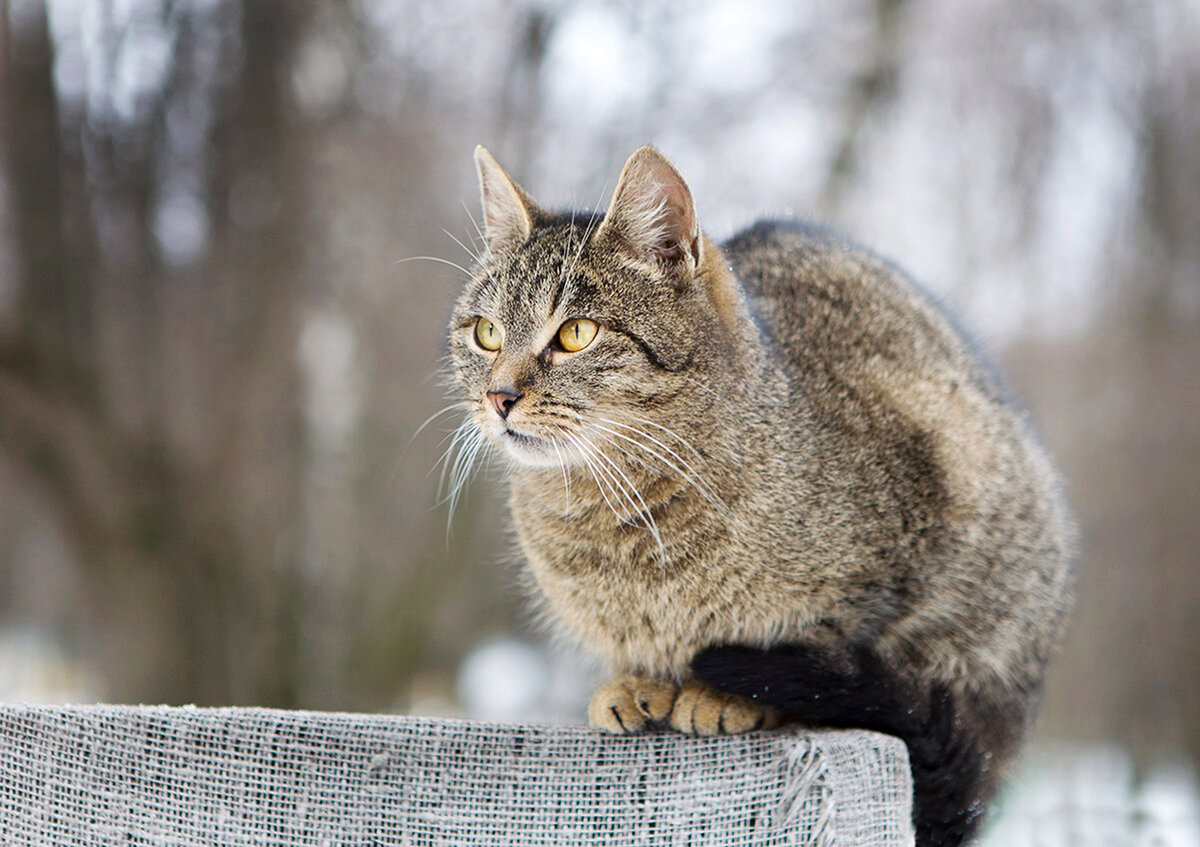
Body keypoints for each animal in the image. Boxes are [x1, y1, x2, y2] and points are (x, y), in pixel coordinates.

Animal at [444, 145, 1080, 844]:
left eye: (576, 333)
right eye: (486, 333)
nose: (498, 396)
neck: (620, 517)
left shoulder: (908, 535)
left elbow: (813, 643)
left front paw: (726, 694)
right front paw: (637, 682)